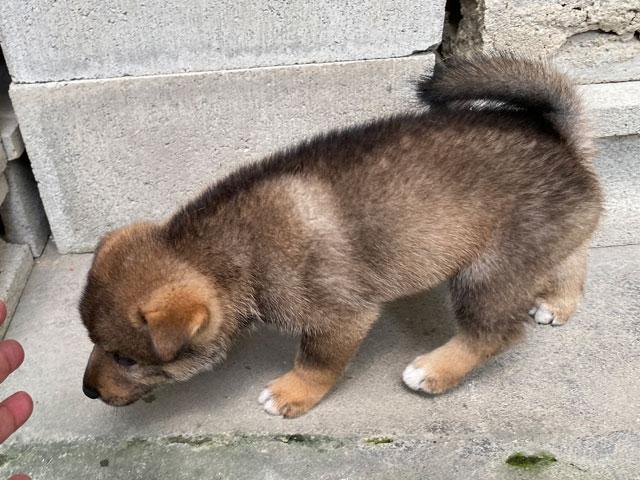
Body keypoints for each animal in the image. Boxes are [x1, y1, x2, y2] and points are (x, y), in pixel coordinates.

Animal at [80, 53, 602, 417]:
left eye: (126, 359)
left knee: (494, 333)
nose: (88, 391)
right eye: (94, 342)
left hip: (488, 273)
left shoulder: (339, 317)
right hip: (542, 243)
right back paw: (557, 304)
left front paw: (291, 393)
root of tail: (563, 143)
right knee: (573, 258)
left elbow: (317, 362)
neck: (229, 254)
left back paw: (434, 370)